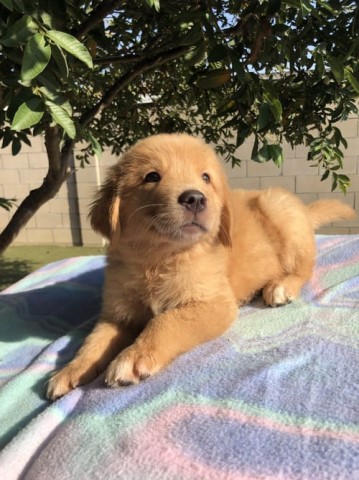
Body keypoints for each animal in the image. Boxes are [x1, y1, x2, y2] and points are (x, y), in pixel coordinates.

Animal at [46, 133, 356, 400]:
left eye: (206, 178)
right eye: (152, 176)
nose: (194, 197)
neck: (158, 259)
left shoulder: (214, 303)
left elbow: (165, 321)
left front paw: (133, 357)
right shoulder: (117, 314)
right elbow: (93, 341)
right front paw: (71, 370)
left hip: (279, 209)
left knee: (304, 266)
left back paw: (280, 287)